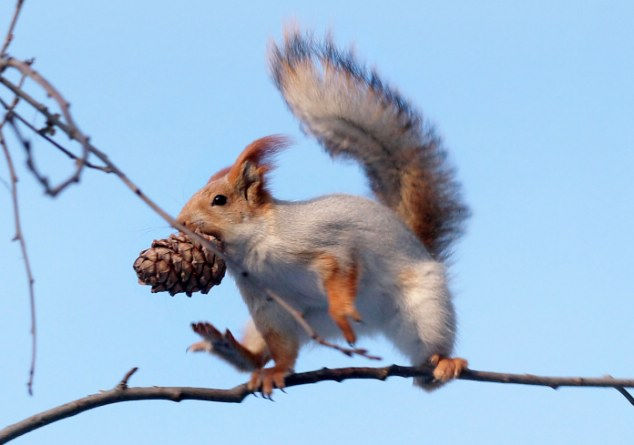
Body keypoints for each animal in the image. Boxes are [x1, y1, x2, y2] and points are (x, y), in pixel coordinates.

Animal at [180, 29, 466, 394]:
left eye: (219, 200)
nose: (181, 222)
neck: (253, 248)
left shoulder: (323, 240)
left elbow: (340, 264)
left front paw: (342, 309)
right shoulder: (265, 303)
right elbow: (282, 348)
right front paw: (276, 371)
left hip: (426, 308)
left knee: (429, 362)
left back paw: (444, 363)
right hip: (297, 322)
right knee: (265, 350)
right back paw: (230, 348)